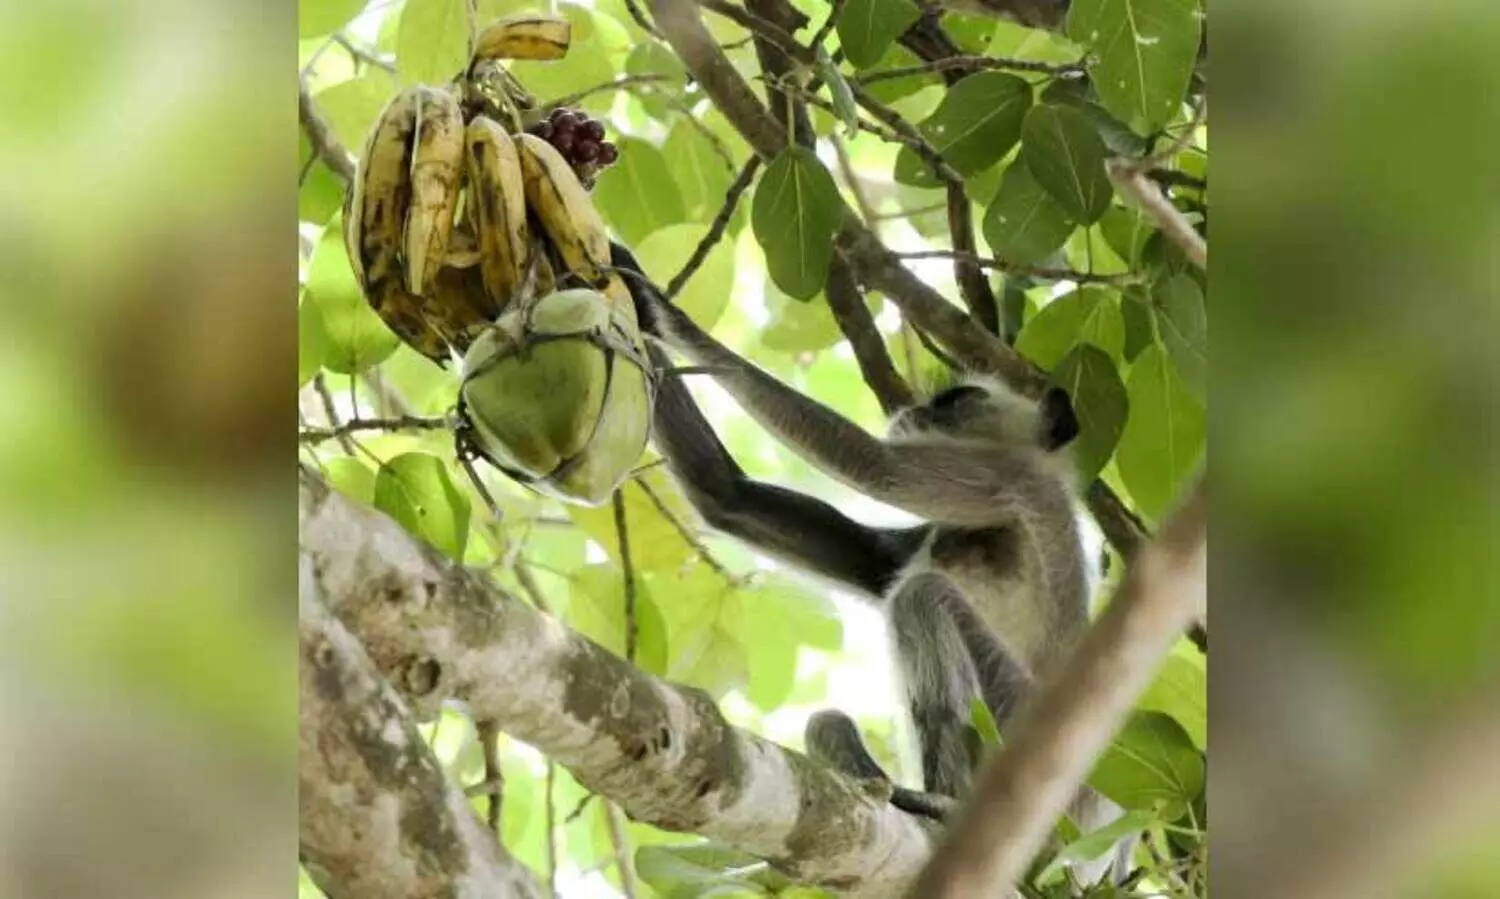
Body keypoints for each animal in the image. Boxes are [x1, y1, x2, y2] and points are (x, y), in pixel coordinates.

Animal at [608, 244, 1131, 883]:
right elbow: (728, 496)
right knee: (829, 719)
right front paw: (631, 298)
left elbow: (872, 463)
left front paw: (669, 317)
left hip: (1032, 748)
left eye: (956, 401)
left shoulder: (1002, 478)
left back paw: (944, 811)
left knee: (921, 598)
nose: (915, 409)